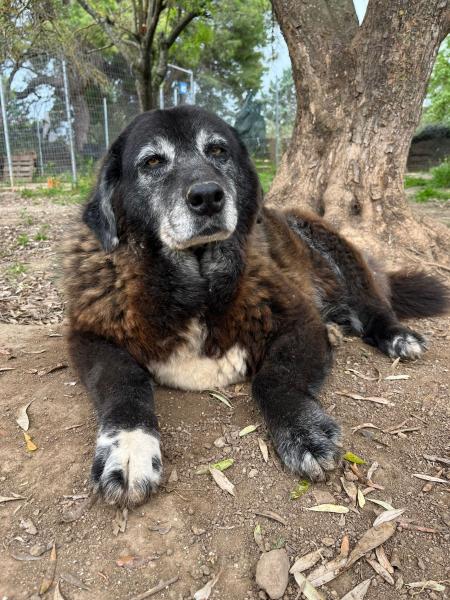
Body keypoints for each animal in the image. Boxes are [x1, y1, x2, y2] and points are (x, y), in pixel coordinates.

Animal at [63, 106, 449, 507]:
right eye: (152, 161)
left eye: (218, 151)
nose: (207, 196)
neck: (198, 289)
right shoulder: (90, 335)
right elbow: (124, 380)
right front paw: (128, 448)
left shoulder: (299, 323)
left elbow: (272, 378)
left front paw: (301, 430)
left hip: (336, 248)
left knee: (373, 305)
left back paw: (398, 336)